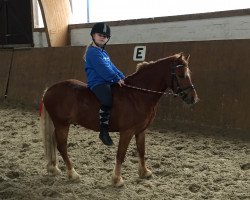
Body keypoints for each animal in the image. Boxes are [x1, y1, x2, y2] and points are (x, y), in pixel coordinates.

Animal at [39, 52, 199, 187]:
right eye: (181, 75)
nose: (193, 98)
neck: (137, 95)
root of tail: (50, 89)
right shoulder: (127, 132)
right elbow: (121, 155)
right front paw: (117, 179)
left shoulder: (141, 131)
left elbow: (141, 151)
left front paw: (144, 172)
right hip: (62, 124)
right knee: (62, 147)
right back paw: (73, 174)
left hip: (59, 125)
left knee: (53, 142)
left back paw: (53, 168)